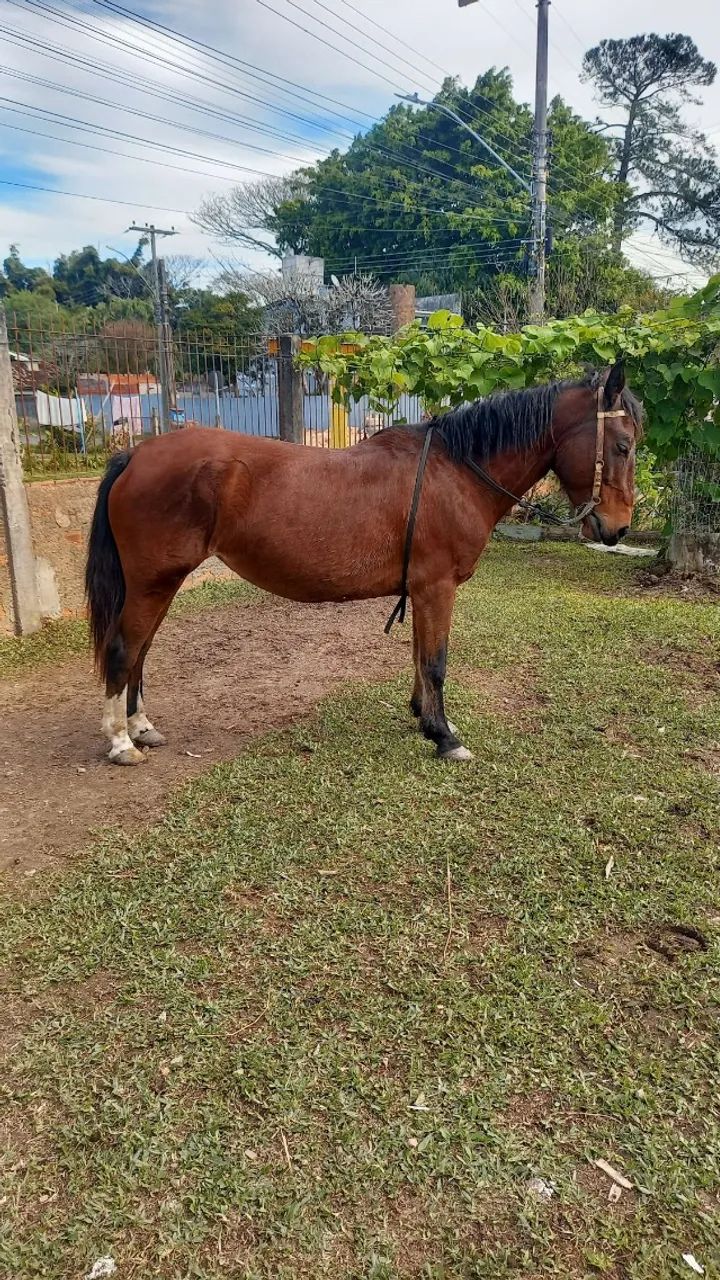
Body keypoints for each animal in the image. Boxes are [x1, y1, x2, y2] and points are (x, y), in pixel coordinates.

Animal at [85, 360, 642, 766]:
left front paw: (426, 719)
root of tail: (136, 455)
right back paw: (120, 742)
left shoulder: (422, 588)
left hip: (159, 583)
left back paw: (141, 727)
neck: (455, 471)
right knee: (123, 649)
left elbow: (419, 656)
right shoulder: (437, 587)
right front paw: (445, 738)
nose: (618, 528)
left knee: (140, 651)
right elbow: (435, 661)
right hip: (153, 581)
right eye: (622, 445)